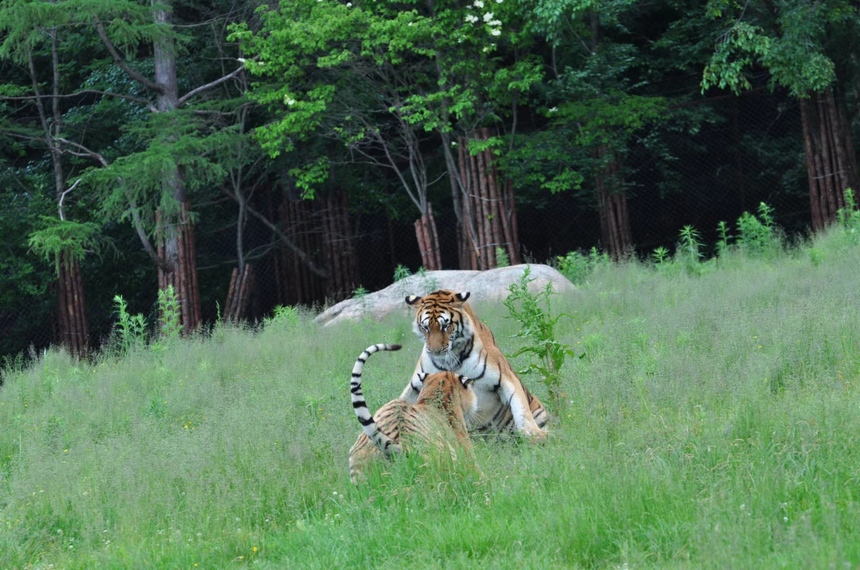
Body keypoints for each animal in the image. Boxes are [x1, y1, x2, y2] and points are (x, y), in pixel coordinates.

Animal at [398, 288, 548, 440]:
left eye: (446, 326)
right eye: (425, 328)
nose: (435, 351)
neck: (449, 359)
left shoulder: (506, 377)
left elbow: (520, 406)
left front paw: (534, 433)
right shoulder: (416, 383)